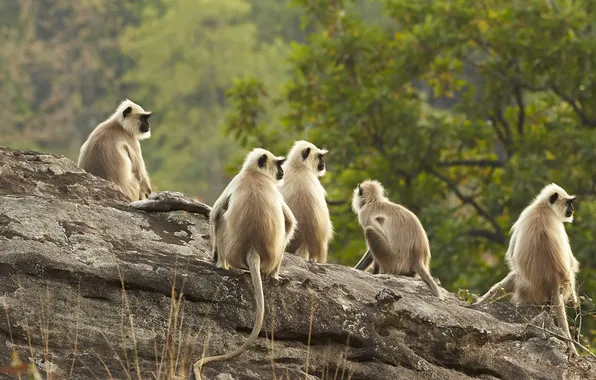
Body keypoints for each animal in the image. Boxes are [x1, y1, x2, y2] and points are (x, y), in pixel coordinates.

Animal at [194, 147, 296, 378]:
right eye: (279, 164)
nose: (282, 173)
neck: (254, 174)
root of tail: (253, 251)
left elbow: (214, 214)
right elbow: (289, 221)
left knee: (221, 217)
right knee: (222, 217)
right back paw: (272, 275)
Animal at [472, 184, 580, 356]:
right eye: (569, 203)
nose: (572, 209)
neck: (543, 207)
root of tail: (554, 281)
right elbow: (571, 262)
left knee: (513, 277)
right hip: (529, 291)